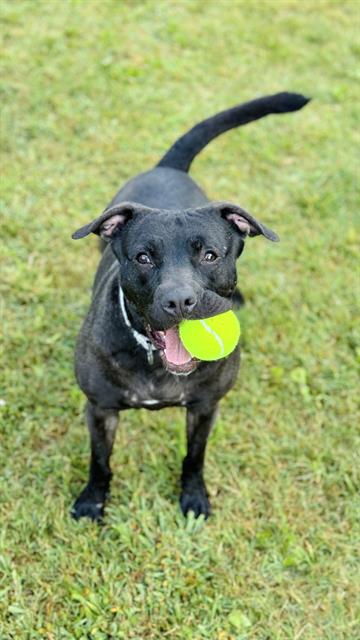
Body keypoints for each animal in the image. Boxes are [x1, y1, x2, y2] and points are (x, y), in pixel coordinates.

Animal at [71, 91, 310, 520]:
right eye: (144, 258)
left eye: (210, 255)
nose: (180, 300)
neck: (155, 362)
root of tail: (169, 166)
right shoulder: (100, 409)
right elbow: (100, 461)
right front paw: (92, 500)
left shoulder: (205, 408)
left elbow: (194, 456)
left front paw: (195, 496)